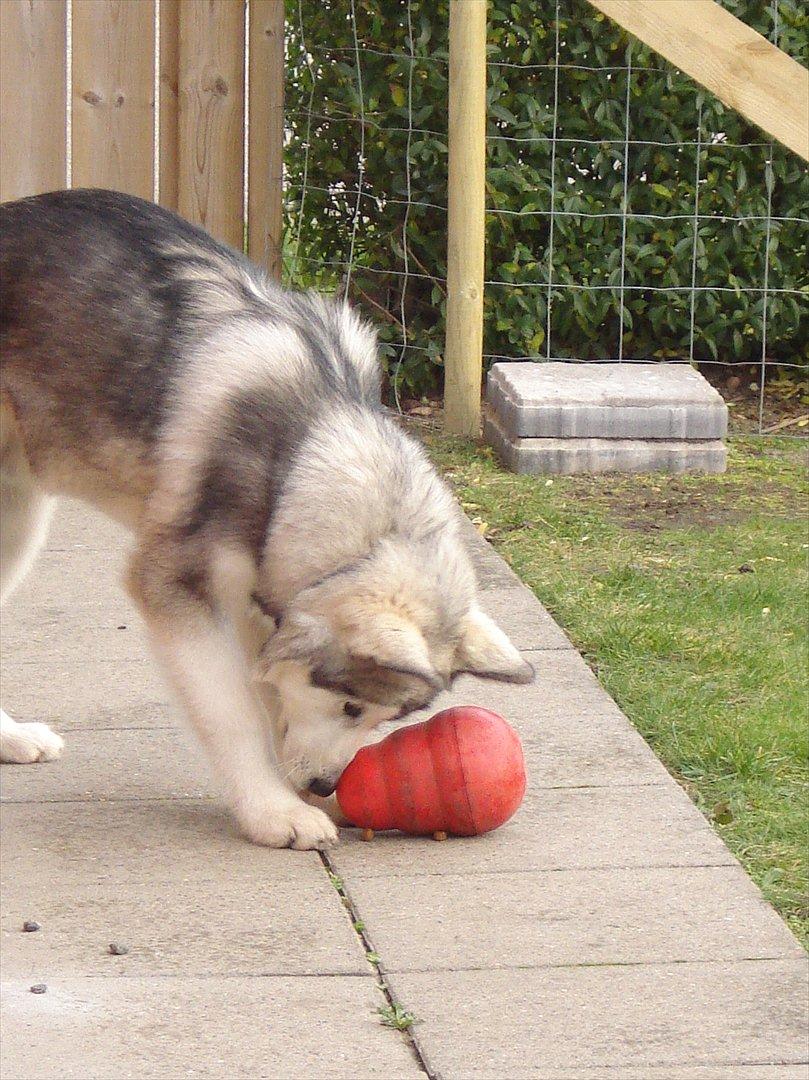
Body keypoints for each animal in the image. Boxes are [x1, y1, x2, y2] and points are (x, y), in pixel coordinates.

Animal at [3, 192, 533, 851]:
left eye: (388, 718)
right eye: (352, 706)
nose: (330, 784)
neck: (303, 450)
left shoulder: (263, 604)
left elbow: (271, 693)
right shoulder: (179, 588)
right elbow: (232, 712)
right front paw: (272, 810)